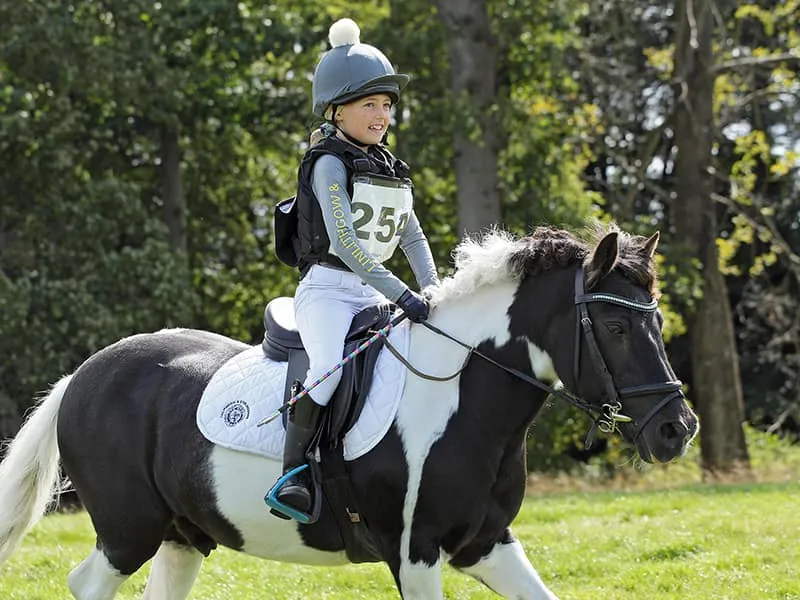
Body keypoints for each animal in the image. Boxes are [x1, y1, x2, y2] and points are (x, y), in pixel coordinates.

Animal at [0, 226, 696, 600]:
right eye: (615, 326)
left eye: (656, 319)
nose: (676, 430)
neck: (465, 398)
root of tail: (84, 374)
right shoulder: (414, 553)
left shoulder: (486, 544)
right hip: (129, 531)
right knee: (88, 583)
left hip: (181, 536)